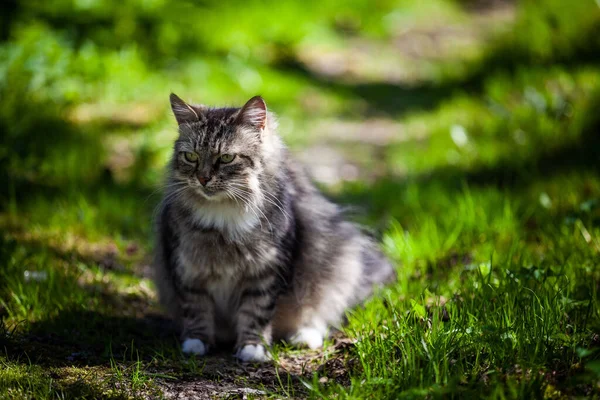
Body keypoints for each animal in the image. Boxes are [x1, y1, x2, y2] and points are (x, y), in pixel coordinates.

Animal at [152, 94, 396, 362]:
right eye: (191, 157)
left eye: (226, 158)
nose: (203, 179)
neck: (222, 216)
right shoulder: (187, 269)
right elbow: (196, 310)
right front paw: (196, 343)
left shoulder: (266, 271)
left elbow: (256, 313)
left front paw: (252, 349)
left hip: (340, 263)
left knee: (319, 313)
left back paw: (304, 337)